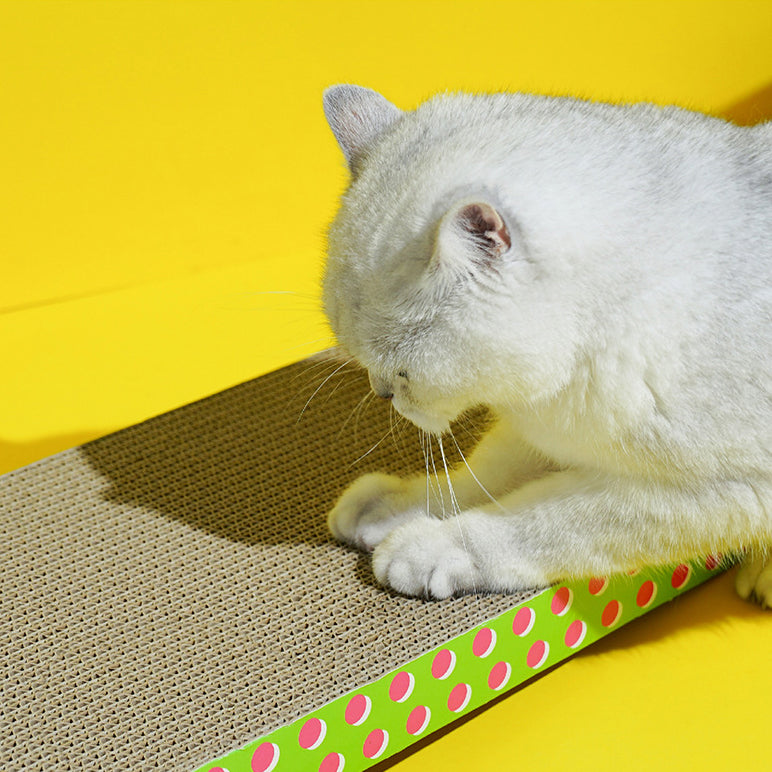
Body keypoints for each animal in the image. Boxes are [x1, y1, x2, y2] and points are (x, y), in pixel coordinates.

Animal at [322, 83, 772, 604]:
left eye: (401, 373)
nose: (381, 393)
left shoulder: (727, 491)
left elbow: (539, 521)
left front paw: (428, 549)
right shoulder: (541, 424)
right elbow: (480, 475)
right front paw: (395, 506)